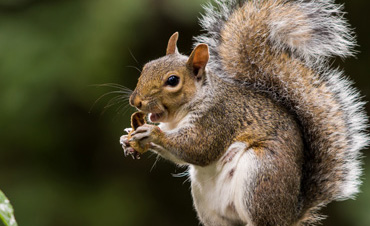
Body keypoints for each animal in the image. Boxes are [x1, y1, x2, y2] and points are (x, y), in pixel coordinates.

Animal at [120, 0, 368, 225]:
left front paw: (151, 134)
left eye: (172, 81)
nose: (136, 100)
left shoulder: (218, 118)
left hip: (260, 176)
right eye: (147, 67)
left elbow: (197, 148)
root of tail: (289, 215)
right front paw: (127, 139)